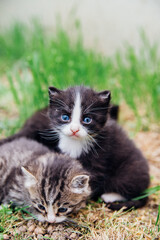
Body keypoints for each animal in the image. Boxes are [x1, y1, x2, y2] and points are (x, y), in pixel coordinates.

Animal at [0, 86, 150, 210]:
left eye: (87, 120)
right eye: (65, 117)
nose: (74, 129)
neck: (75, 142)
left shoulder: (100, 157)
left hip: (128, 173)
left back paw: (110, 196)